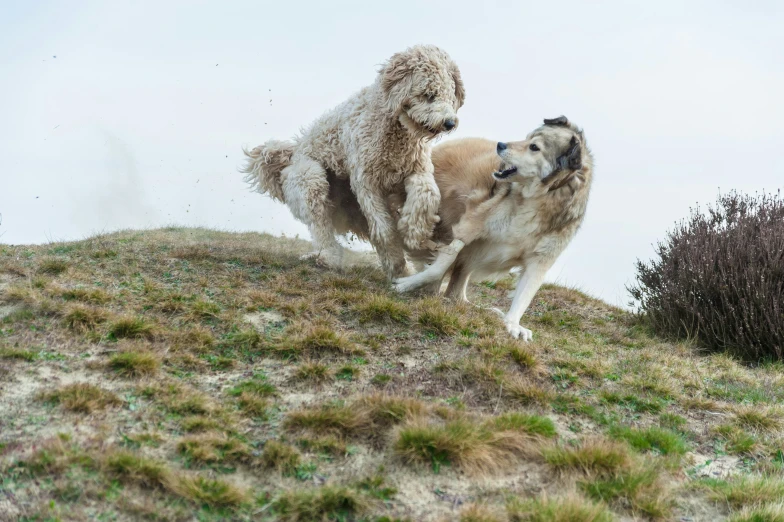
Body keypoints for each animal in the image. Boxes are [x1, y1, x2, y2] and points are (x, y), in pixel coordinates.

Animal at [242, 45, 462, 276]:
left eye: (449, 95)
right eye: (429, 94)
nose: (449, 123)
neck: (393, 130)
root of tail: (291, 155)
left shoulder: (416, 170)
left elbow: (427, 194)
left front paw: (414, 231)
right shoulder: (367, 183)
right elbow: (384, 229)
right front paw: (402, 251)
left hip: (353, 209)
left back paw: (404, 266)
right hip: (310, 179)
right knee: (321, 224)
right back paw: (327, 257)